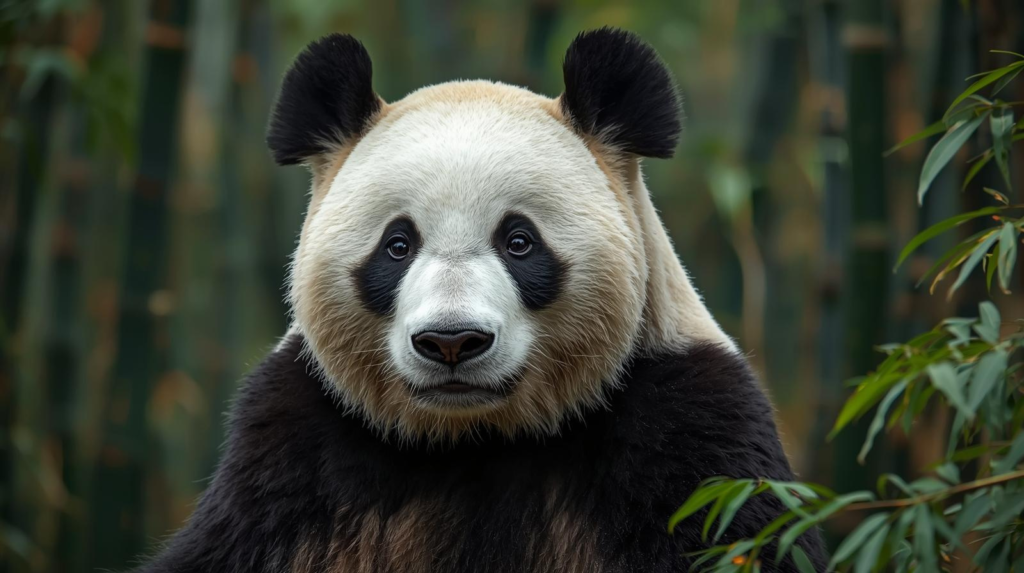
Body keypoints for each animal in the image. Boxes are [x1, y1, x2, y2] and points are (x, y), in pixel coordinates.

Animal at [138, 28, 826, 573]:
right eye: (397, 245)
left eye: (519, 241)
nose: (451, 342)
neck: (474, 438)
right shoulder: (294, 456)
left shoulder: (688, 432)